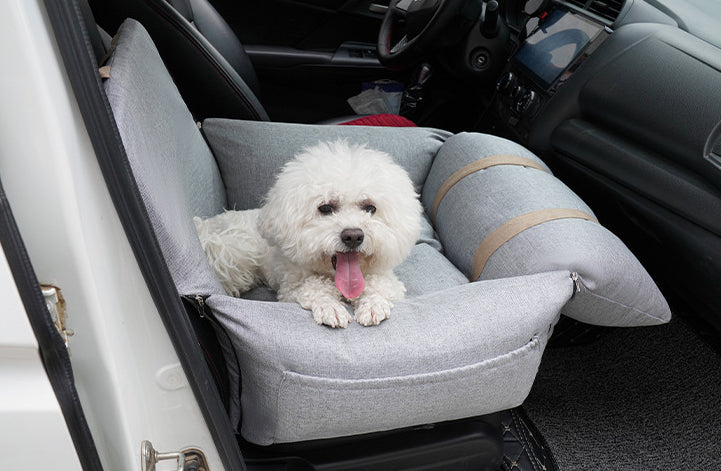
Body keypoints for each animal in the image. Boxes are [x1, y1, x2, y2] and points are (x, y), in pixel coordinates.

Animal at [197, 140, 422, 328]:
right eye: (325, 208)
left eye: (370, 208)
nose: (353, 236)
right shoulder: (290, 287)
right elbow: (314, 287)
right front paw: (330, 307)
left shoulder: (387, 279)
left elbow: (379, 286)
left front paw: (373, 305)